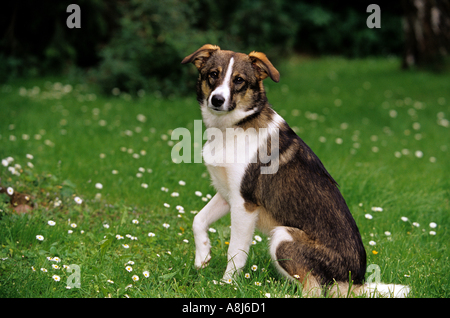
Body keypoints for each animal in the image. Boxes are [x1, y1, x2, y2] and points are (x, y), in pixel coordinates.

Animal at [181, 44, 410, 298]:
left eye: (239, 80)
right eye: (213, 74)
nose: (217, 99)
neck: (233, 127)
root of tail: (354, 282)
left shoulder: (245, 204)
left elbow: (236, 251)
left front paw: (226, 284)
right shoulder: (227, 194)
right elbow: (198, 220)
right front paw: (202, 256)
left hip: (283, 238)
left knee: (314, 290)